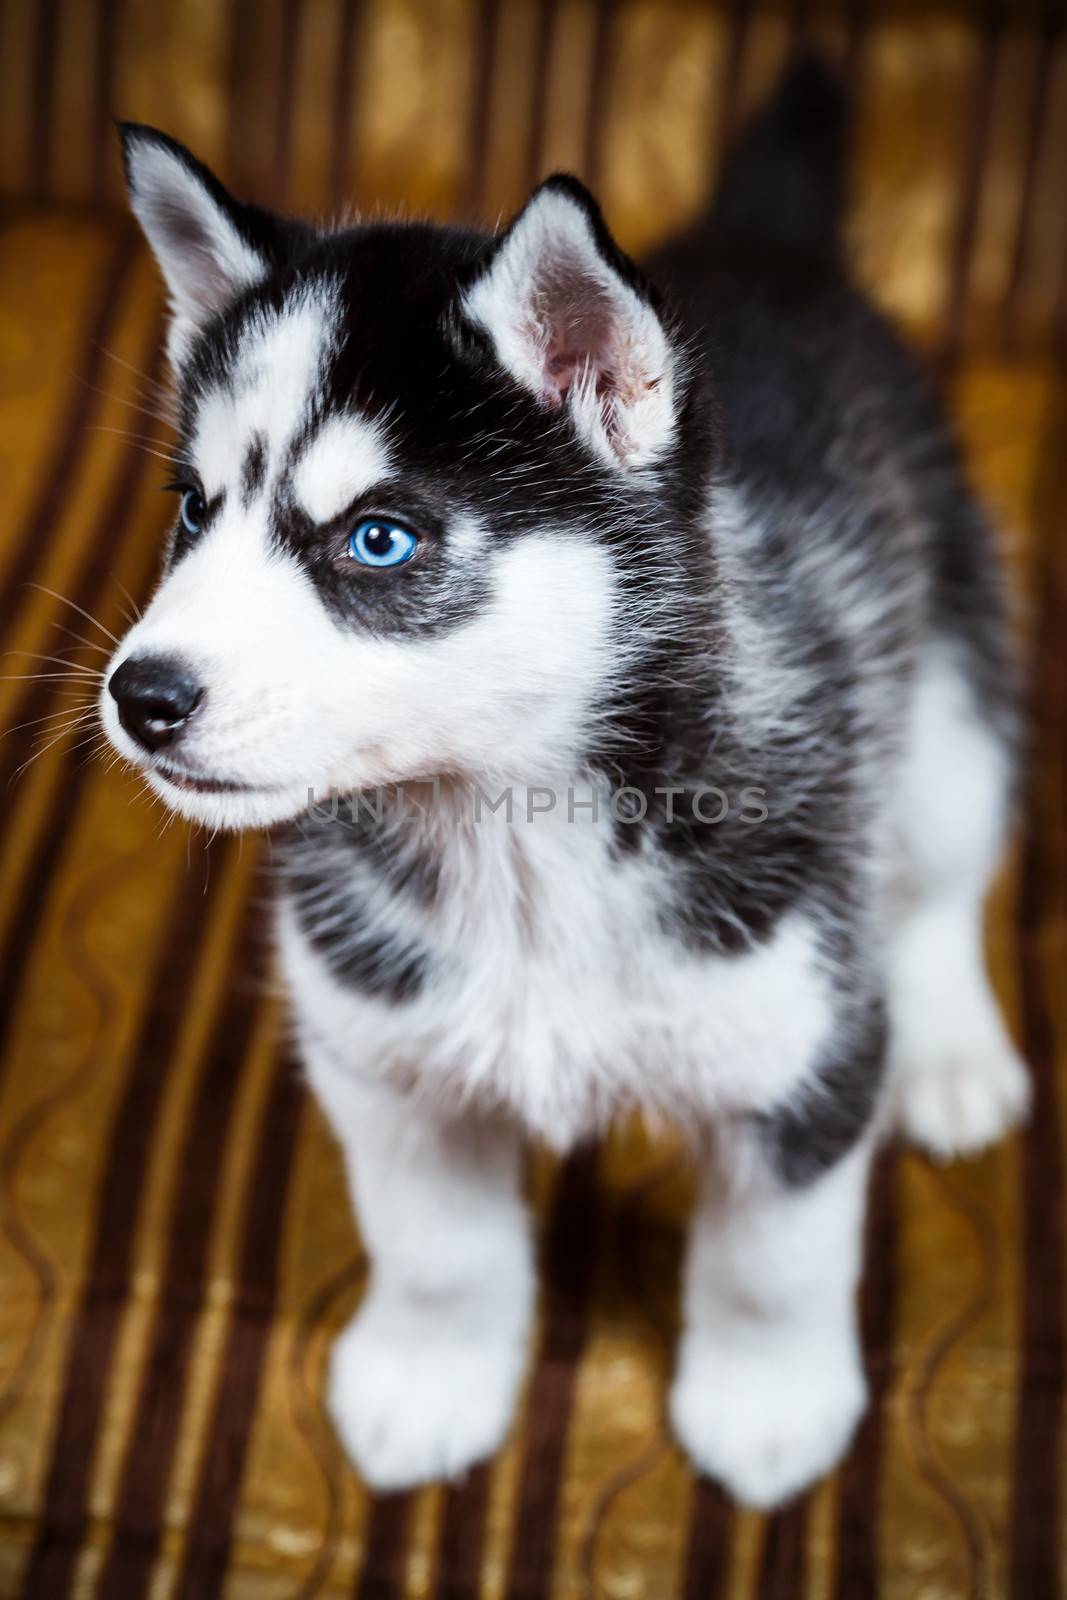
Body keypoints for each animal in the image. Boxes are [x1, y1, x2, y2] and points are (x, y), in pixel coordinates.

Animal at [103, 62, 1030, 1504]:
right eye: (194, 510)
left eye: (379, 539)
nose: (140, 697)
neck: (515, 838)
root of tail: (763, 246)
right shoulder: (381, 1056)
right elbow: (438, 1250)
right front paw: (428, 1383)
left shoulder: (798, 1039)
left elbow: (772, 1263)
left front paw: (766, 1405)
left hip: (943, 692)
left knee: (936, 874)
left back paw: (948, 1050)